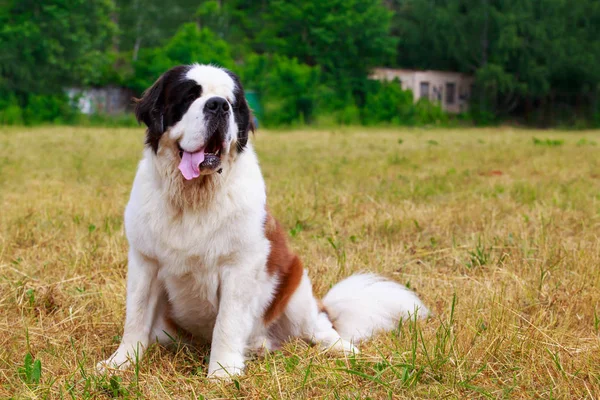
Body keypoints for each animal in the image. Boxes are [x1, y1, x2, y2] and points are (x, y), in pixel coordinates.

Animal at [96, 63, 428, 378]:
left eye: (231, 102)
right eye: (189, 96)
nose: (218, 106)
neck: (194, 197)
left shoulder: (240, 266)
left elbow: (227, 322)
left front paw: (222, 373)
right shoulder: (145, 262)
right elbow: (136, 317)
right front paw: (121, 363)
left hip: (296, 285)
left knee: (319, 327)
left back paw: (344, 350)